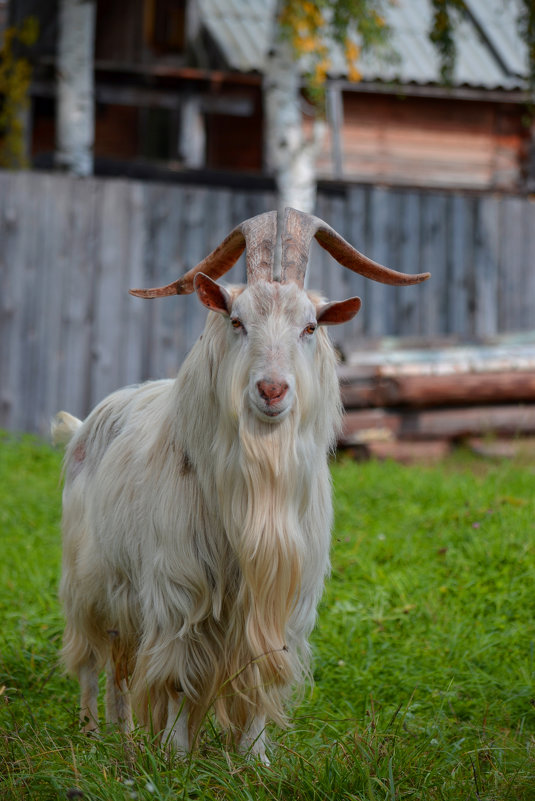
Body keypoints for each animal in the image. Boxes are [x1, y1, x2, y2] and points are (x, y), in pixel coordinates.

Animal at [53, 208, 432, 764]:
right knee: (90, 660)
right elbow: (176, 677)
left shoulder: (282, 597)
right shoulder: (179, 589)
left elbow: (258, 674)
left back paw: (124, 737)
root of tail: (82, 426)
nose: (272, 390)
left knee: (121, 667)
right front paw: (176, 758)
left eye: (310, 326)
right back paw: (90, 734)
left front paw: (255, 760)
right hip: (88, 584)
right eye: (237, 321)